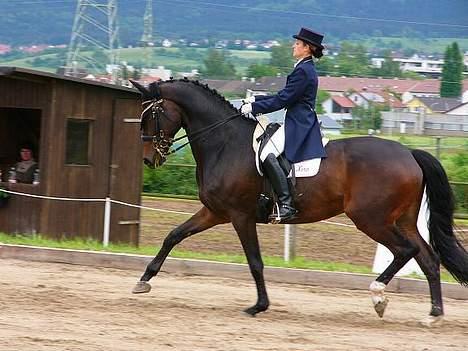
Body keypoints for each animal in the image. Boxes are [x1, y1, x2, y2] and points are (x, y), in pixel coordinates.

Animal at [129, 80, 468, 328]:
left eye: (150, 116)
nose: (148, 159)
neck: (224, 143)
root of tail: (409, 152)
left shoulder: (240, 216)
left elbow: (254, 261)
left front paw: (258, 306)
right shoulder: (214, 212)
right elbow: (173, 235)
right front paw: (143, 281)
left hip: (371, 219)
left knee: (405, 251)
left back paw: (379, 297)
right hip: (403, 220)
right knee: (428, 259)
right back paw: (433, 315)